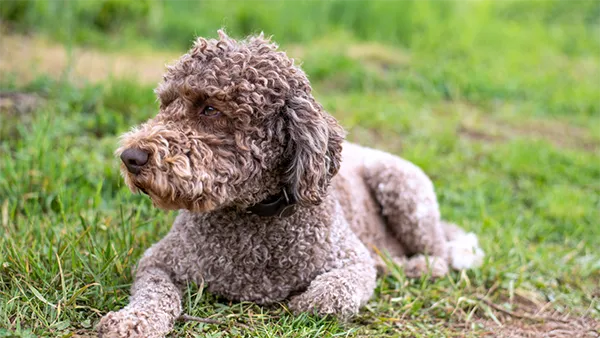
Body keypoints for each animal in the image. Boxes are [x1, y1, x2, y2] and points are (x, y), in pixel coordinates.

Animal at [98, 30, 482, 336]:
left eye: (209, 108)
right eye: (164, 104)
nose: (130, 157)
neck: (253, 215)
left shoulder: (353, 262)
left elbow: (329, 296)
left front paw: (304, 300)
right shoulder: (158, 261)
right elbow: (154, 294)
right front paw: (132, 320)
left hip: (403, 188)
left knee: (440, 254)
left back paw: (414, 266)